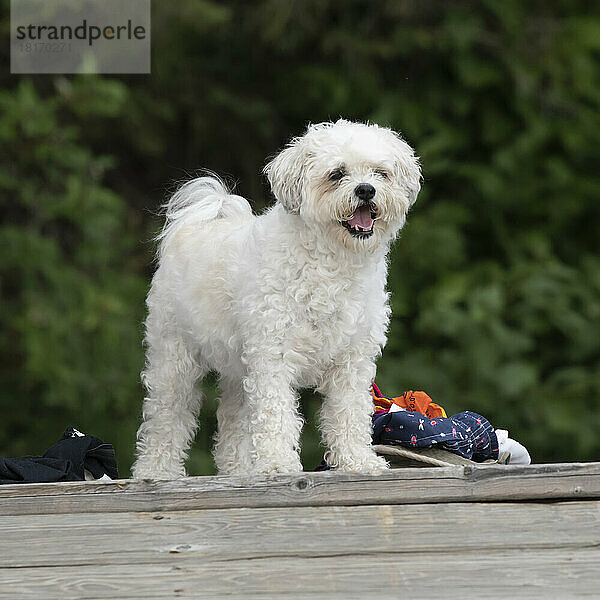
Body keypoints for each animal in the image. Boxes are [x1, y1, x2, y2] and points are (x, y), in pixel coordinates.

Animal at [131, 119, 422, 480]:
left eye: (381, 173)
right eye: (336, 174)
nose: (366, 190)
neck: (331, 263)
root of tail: (194, 226)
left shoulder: (352, 361)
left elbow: (350, 414)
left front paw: (358, 461)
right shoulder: (273, 355)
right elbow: (276, 414)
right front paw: (278, 464)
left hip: (238, 368)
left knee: (233, 419)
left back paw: (238, 470)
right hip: (174, 359)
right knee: (166, 417)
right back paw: (155, 471)